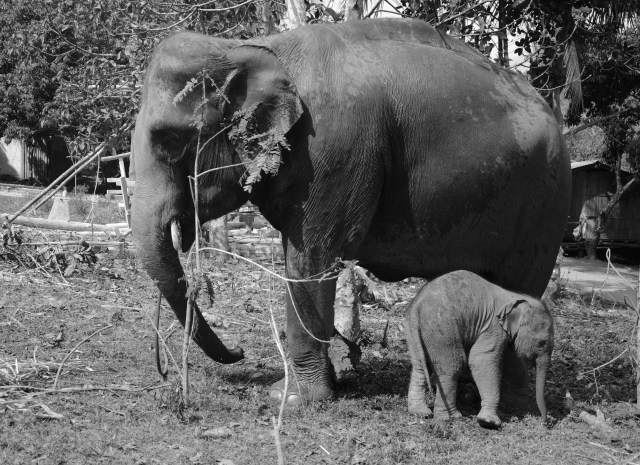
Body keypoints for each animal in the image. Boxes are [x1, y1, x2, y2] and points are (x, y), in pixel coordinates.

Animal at [130, 18, 571, 405]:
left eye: (170, 141)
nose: (239, 353)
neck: (250, 47)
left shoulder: (331, 151)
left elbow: (311, 259)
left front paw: (292, 399)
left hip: (544, 204)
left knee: (521, 285)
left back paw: (506, 403)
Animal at [405, 270, 554, 429]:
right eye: (541, 343)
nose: (546, 422)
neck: (514, 296)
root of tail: (417, 308)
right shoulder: (493, 326)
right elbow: (480, 359)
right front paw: (489, 422)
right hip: (442, 330)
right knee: (453, 366)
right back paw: (450, 417)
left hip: (413, 330)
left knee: (420, 366)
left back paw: (420, 412)